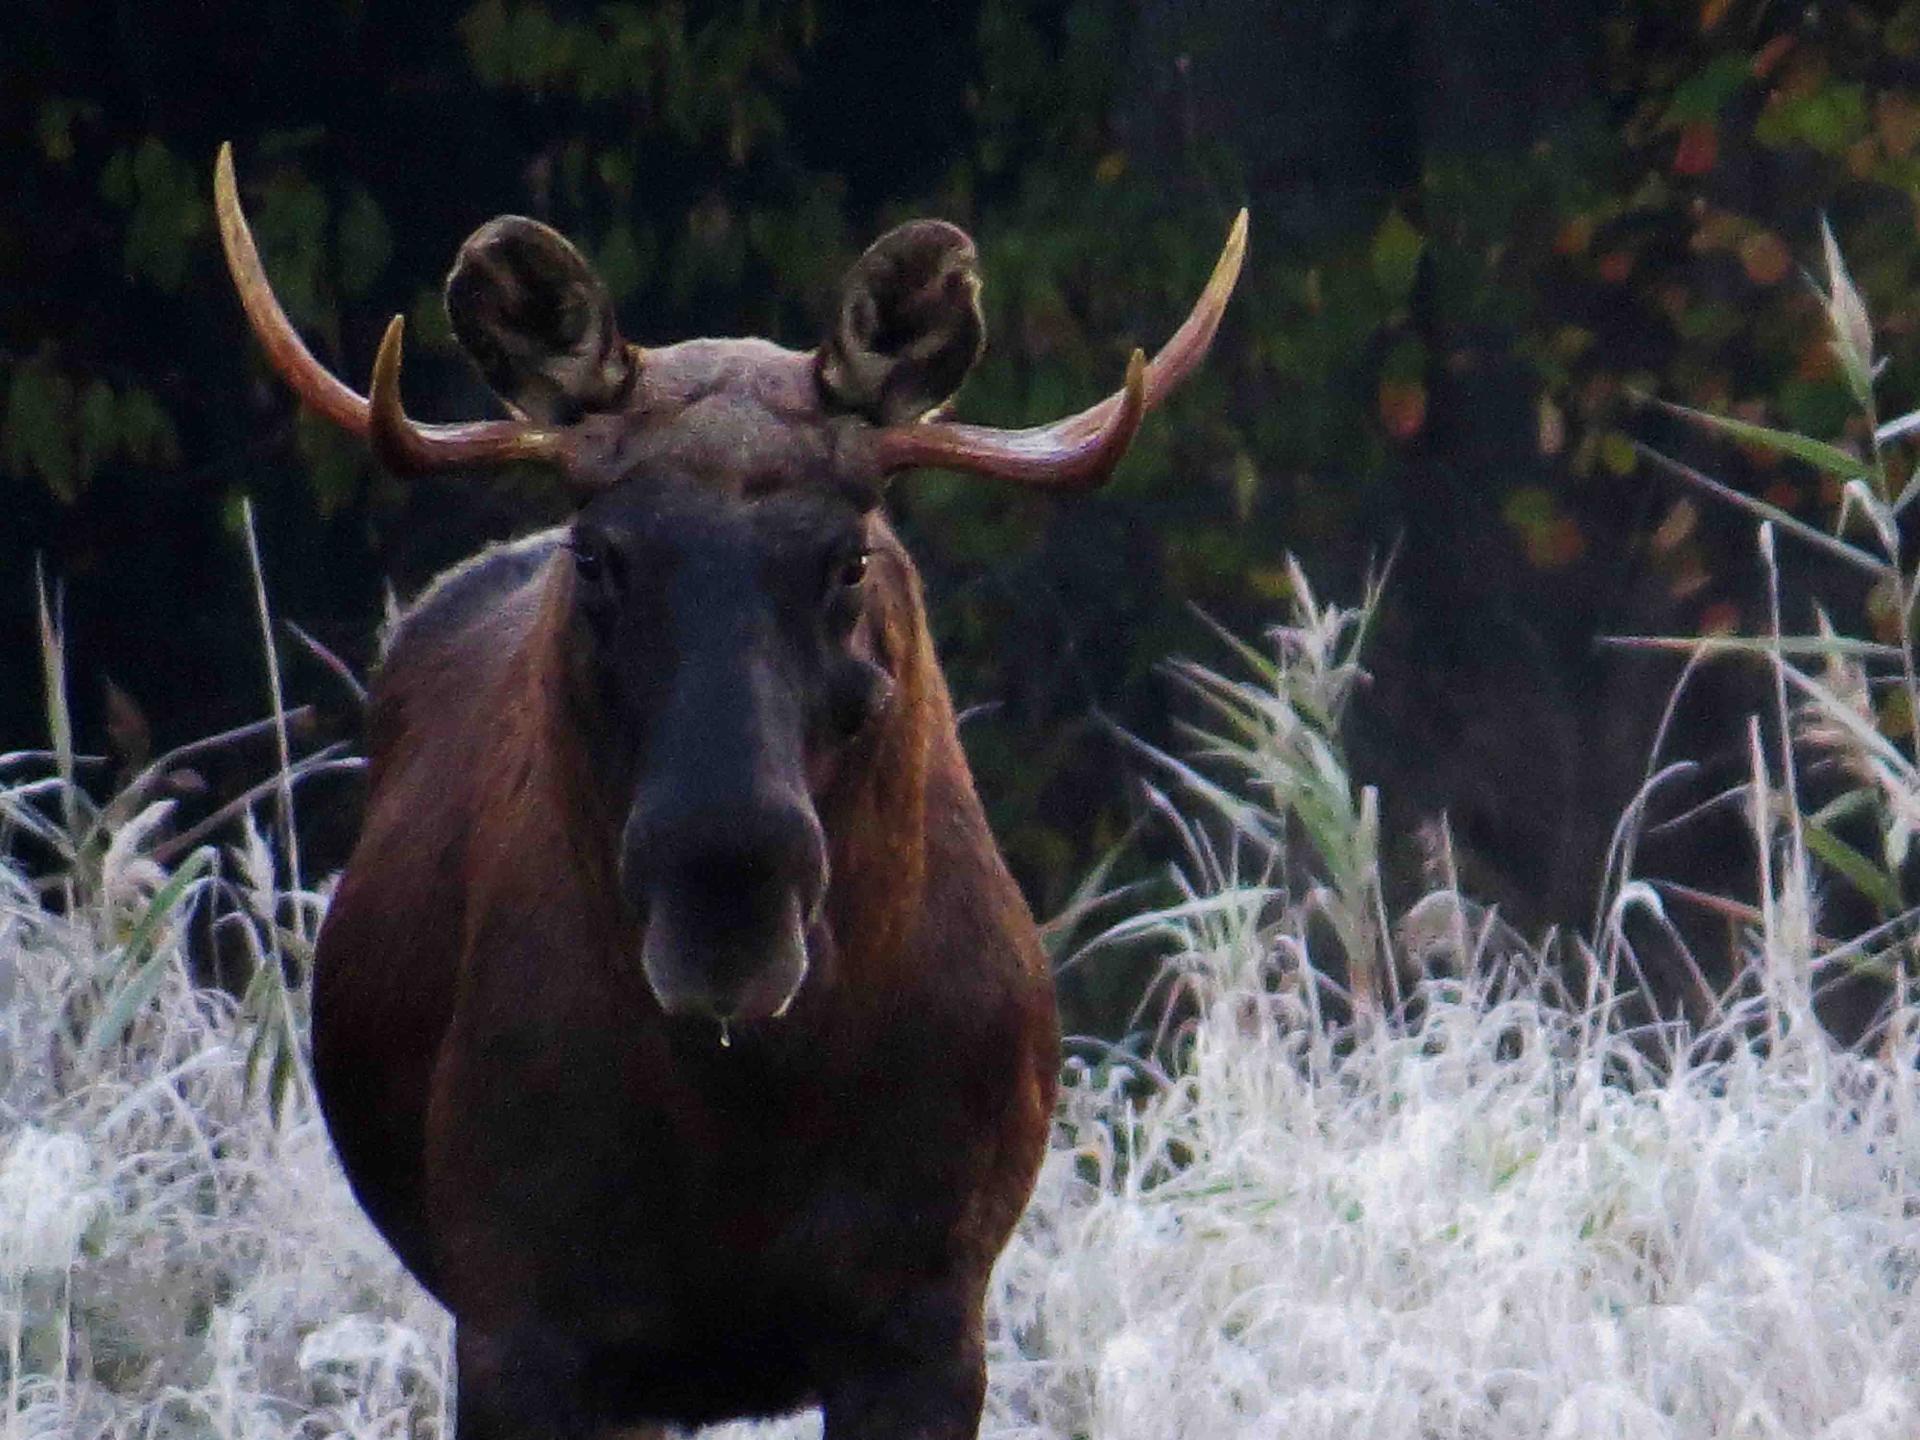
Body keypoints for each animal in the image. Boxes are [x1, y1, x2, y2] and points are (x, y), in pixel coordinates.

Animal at [214, 144, 1244, 1440]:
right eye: (597, 555)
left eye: (850, 558)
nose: (727, 907)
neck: (745, 1110)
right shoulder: (521, 1314)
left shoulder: (925, 1309)